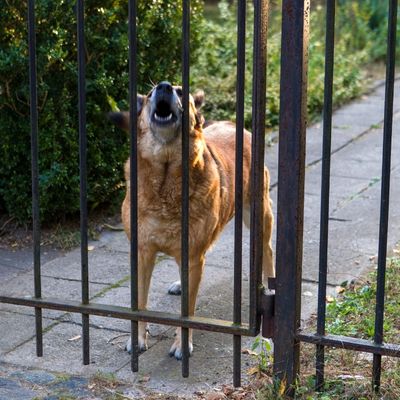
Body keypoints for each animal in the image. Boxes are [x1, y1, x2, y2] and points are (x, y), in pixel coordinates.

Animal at [108, 81, 274, 360]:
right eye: (150, 93)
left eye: (180, 91)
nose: (164, 87)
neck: (164, 183)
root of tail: (233, 124)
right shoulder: (142, 252)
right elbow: (140, 302)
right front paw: (138, 339)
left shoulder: (193, 255)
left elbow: (187, 311)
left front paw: (182, 345)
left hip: (258, 215)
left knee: (268, 252)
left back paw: (269, 288)